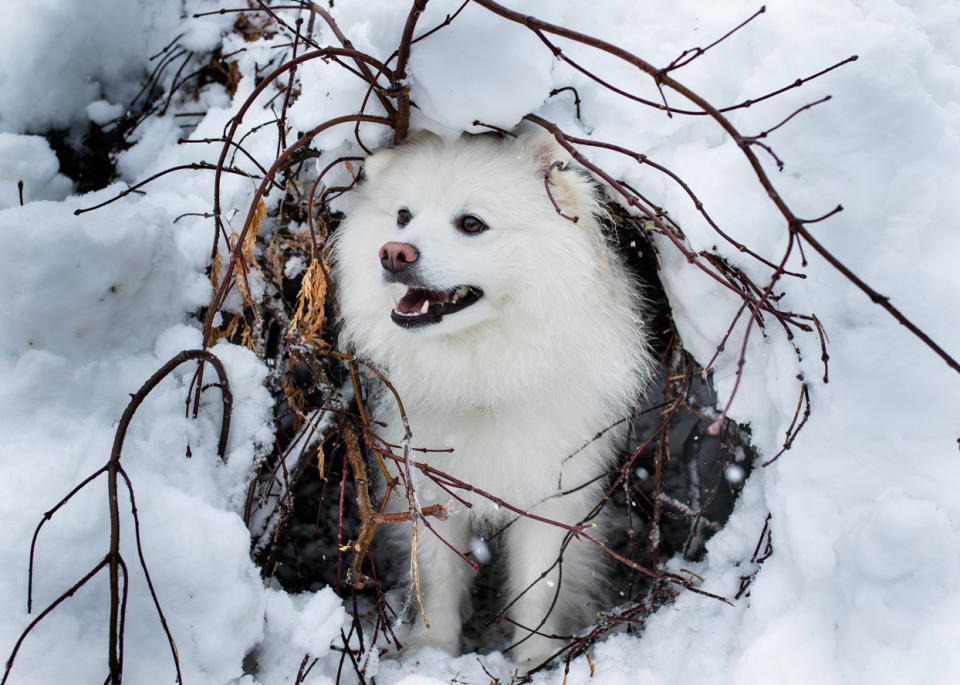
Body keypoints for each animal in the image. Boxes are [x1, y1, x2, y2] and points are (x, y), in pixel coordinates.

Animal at [334, 127, 656, 664]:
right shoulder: (432, 488)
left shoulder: (551, 495)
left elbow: (539, 586)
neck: (482, 372)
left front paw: (533, 660)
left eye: (471, 224)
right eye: (402, 216)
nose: (394, 252)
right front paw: (432, 651)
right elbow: (438, 576)